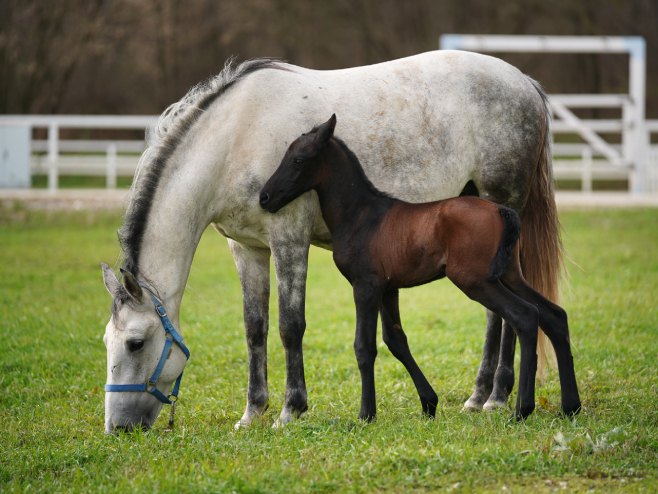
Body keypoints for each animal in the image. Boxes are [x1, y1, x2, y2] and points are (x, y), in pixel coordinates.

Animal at [258, 115, 576, 420]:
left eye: (298, 159)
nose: (264, 197)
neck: (360, 214)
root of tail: (502, 211)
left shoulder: (365, 286)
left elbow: (364, 346)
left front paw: (366, 414)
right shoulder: (388, 289)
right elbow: (396, 340)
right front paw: (429, 403)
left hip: (475, 280)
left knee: (525, 316)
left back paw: (522, 409)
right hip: (509, 275)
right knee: (554, 315)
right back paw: (569, 406)